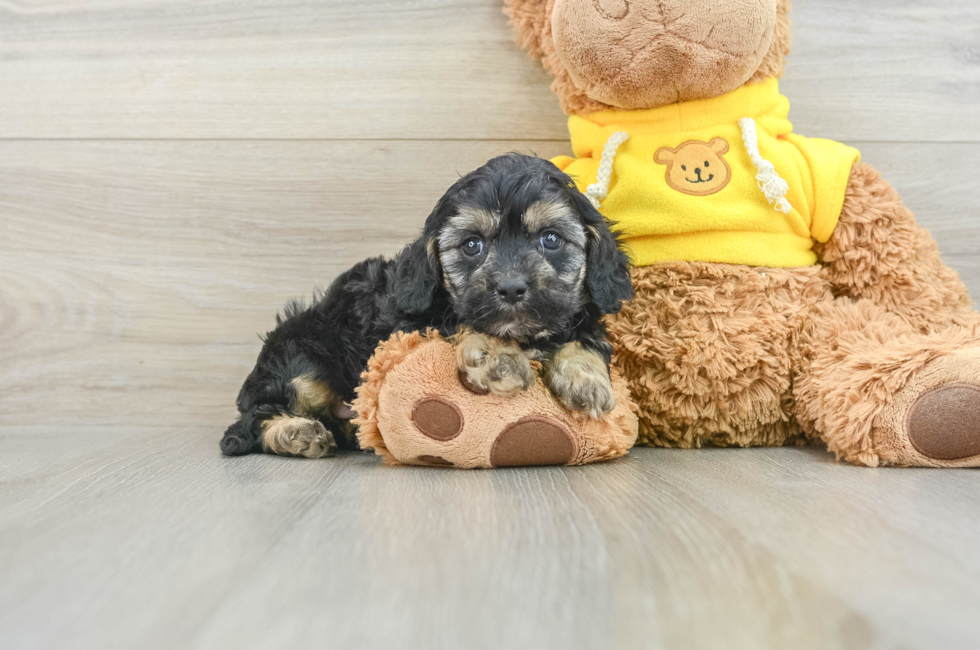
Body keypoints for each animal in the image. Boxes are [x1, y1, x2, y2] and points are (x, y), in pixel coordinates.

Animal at [221, 153, 632, 456]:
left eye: (551, 239)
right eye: (472, 245)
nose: (511, 288)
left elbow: (583, 335)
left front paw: (587, 379)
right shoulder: (412, 323)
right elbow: (462, 323)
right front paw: (499, 356)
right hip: (302, 358)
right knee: (250, 422)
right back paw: (296, 433)